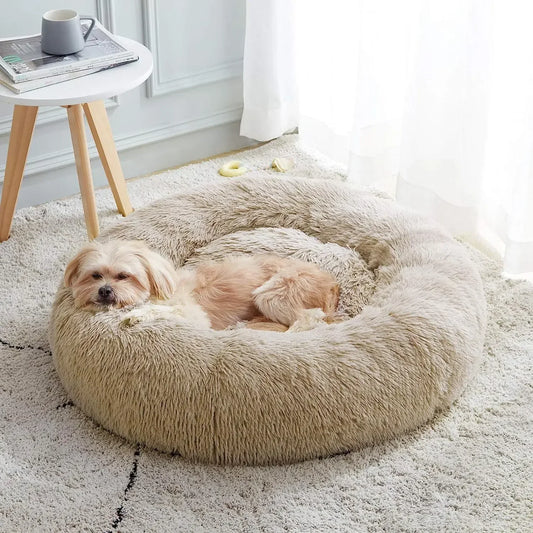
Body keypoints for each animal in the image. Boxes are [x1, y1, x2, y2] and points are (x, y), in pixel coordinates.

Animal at [64, 240, 338, 330]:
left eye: (123, 276)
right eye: (95, 275)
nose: (105, 291)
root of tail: (331, 284)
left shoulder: (194, 314)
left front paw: (137, 315)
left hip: (273, 293)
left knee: (309, 319)